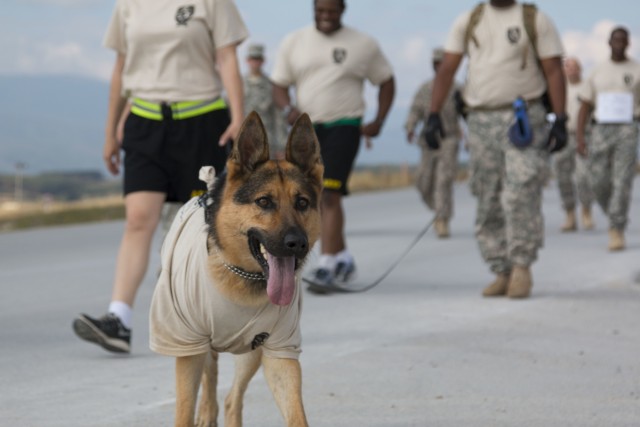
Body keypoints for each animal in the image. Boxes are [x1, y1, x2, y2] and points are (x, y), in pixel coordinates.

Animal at [149, 112, 320, 426]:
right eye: (264, 201)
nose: (297, 244)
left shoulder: (280, 350)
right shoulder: (187, 345)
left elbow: (296, 414)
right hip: (202, 344)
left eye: (302, 203)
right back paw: (207, 411)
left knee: (232, 398)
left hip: (250, 352)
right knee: (211, 376)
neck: (240, 275)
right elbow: (184, 409)